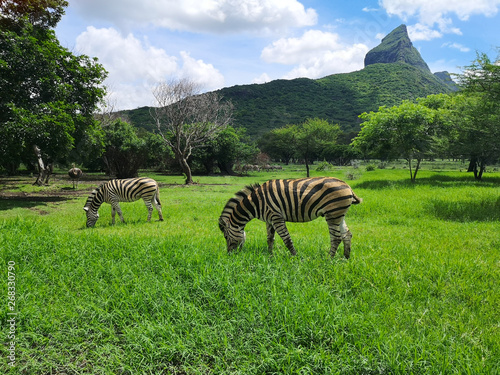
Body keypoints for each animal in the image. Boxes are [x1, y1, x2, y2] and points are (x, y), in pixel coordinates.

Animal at [217, 178, 362, 258]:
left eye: (226, 237)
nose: (229, 255)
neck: (256, 202)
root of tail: (347, 186)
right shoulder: (269, 219)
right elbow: (270, 239)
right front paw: (270, 256)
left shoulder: (276, 217)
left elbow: (287, 239)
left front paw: (295, 257)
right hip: (339, 214)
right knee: (347, 234)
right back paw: (346, 257)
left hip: (332, 214)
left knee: (336, 238)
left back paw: (329, 259)